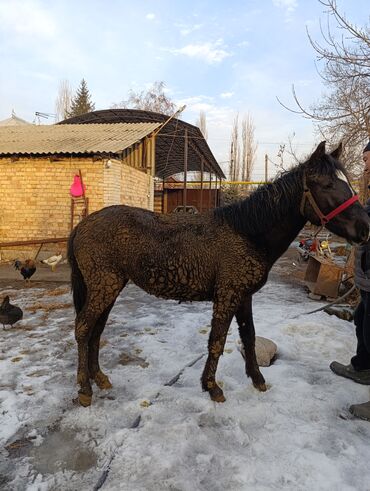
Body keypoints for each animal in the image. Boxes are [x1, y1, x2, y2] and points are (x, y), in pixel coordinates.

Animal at [68, 142, 368, 408]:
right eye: (327, 184)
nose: (365, 228)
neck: (247, 232)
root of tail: (83, 224)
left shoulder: (244, 296)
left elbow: (249, 337)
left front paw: (257, 380)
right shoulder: (227, 296)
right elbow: (217, 341)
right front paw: (212, 387)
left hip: (109, 287)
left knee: (95, 331)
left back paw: (99, 378)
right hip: (104, 286)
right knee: (83, 328)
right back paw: (84, 389)